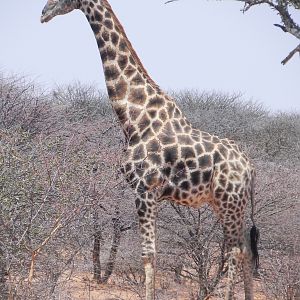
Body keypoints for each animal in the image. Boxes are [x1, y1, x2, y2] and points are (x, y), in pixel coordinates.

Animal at [41, 1, 258, 298]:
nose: (43, 13)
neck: (134, 117)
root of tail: (249, 167)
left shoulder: (144, 189)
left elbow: (148, 255)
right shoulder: (151, 194)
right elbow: (151, 254)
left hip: (229, 200)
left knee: (235, 249)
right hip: (227, 202)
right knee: (246, 247)